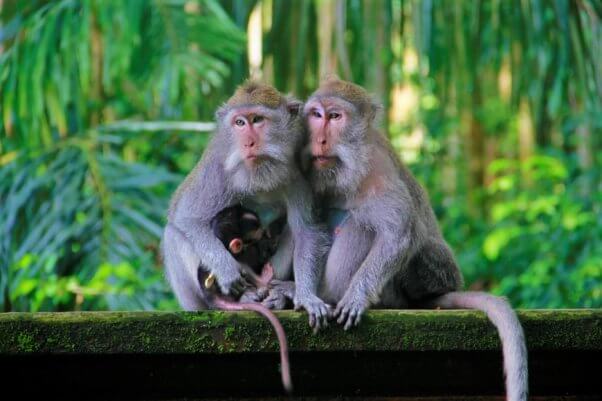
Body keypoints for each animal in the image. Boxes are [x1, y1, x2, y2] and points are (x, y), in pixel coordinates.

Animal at [304, 77, 524, 400]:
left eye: (334, 116)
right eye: (316, 115)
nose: (319, 139)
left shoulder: (378, 170)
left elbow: (401, 233)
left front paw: (356, 296)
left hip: (423, 274)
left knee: (363, 225)